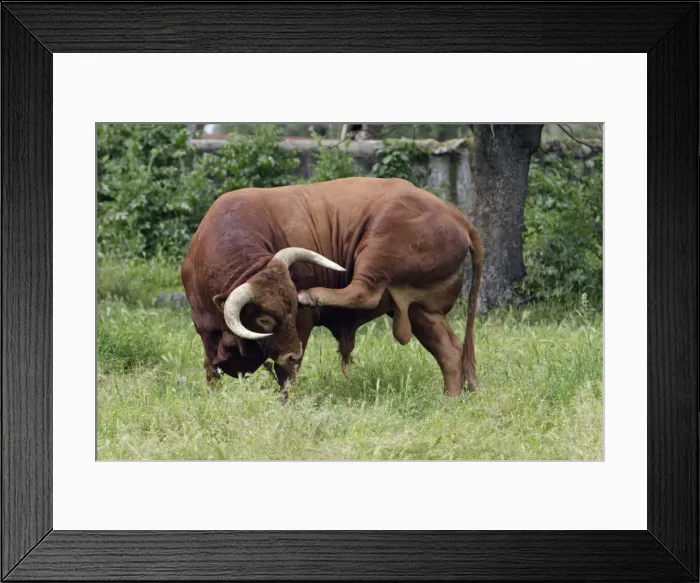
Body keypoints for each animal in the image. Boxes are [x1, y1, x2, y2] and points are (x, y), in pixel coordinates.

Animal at [180, 177, 483, 397]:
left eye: (293, 310)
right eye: (264, 319)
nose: (293, 353)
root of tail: (457, 215)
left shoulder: (301, 329)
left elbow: (287, 377)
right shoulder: (207, 335)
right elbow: (211, 372)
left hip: (377, 248)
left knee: (364, 291)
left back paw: (313, 294)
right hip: (421, 310)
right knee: (450, 350)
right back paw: (450, 399)